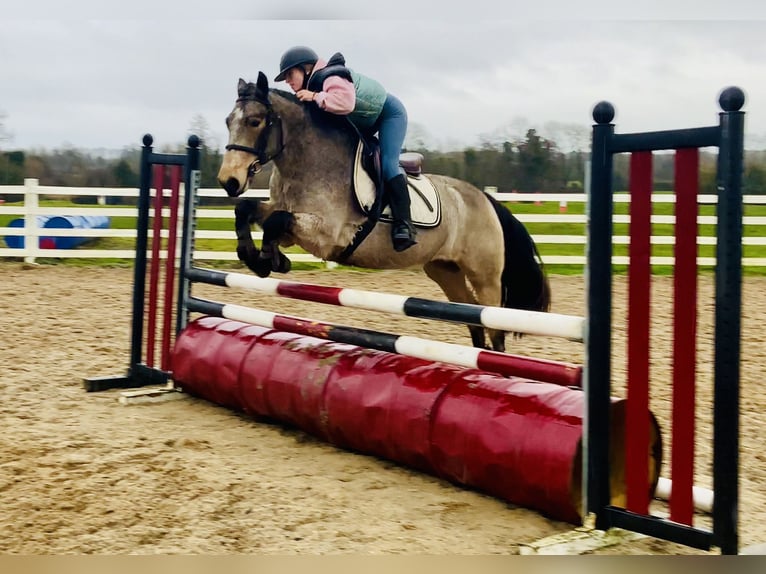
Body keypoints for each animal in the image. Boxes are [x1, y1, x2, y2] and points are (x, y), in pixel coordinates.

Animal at [216, 72, 551, 352]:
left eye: (256, 121)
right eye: (228, 121)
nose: (228, 181)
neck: (307, 164)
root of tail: (484, 198)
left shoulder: (327, 235)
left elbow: (275, 221)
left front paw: (270, 261)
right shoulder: (288, 219)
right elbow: (249, 211)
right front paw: (257, 256)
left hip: (485, 277)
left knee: (494, 327)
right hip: (445, 270)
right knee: (472, 319)